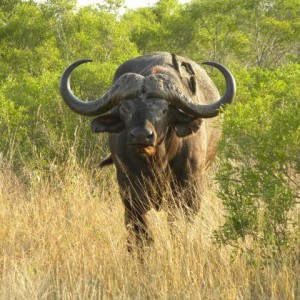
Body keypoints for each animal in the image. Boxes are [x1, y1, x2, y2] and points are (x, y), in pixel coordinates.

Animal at [59, 51, 236, 248]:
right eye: (125, 108)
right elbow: (141, 235)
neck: (157, 162)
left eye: (164, 109)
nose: (141, 136)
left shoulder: (189, 190)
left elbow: (177, 227)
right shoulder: (129, 194)